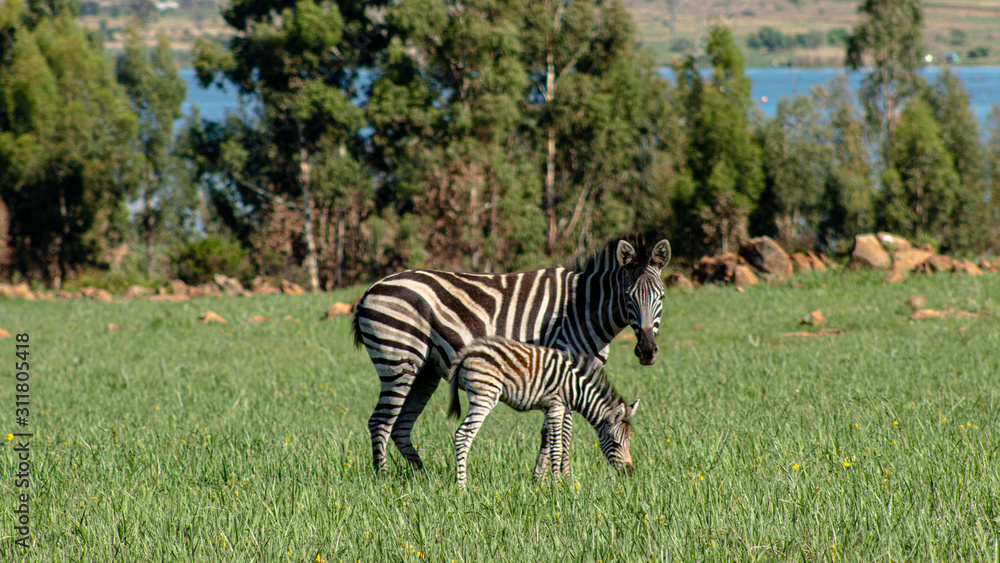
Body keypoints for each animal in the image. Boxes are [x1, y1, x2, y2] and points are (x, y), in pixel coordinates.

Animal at [447, 337, 637, 487]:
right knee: (462, 435)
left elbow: (554, 442)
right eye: (615, 443)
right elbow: (557, 447)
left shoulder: (551, 408)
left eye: (629, 441)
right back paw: (462, 486)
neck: (575, 389)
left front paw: (549, 481)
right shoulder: (555, 406)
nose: (630, 472)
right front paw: (557, 484)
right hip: (483, 397)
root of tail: (467, 352)